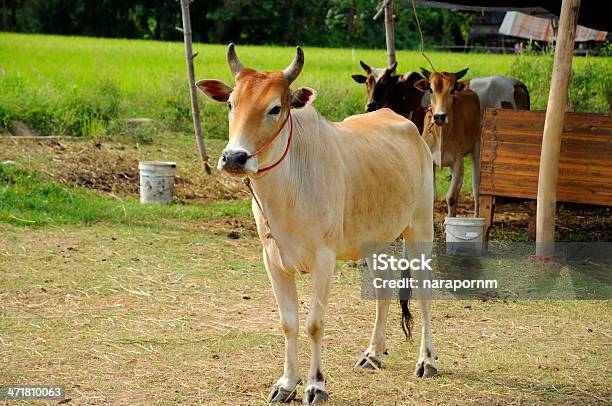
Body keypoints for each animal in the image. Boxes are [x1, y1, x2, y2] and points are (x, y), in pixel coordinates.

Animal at [198, 44, 438, 402]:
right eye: (230, 104)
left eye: (275, 108)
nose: (234, 158)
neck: (286, 190)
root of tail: (406, 124)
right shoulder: (273, 260)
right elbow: (289, 323)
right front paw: (286, 384)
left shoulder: (324, 260)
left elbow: (314, 323)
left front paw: (315, 385)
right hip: (375, 240)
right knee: (383, 289)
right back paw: (373, 353)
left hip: (421, 228)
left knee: (423, 293)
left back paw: (427, 361)